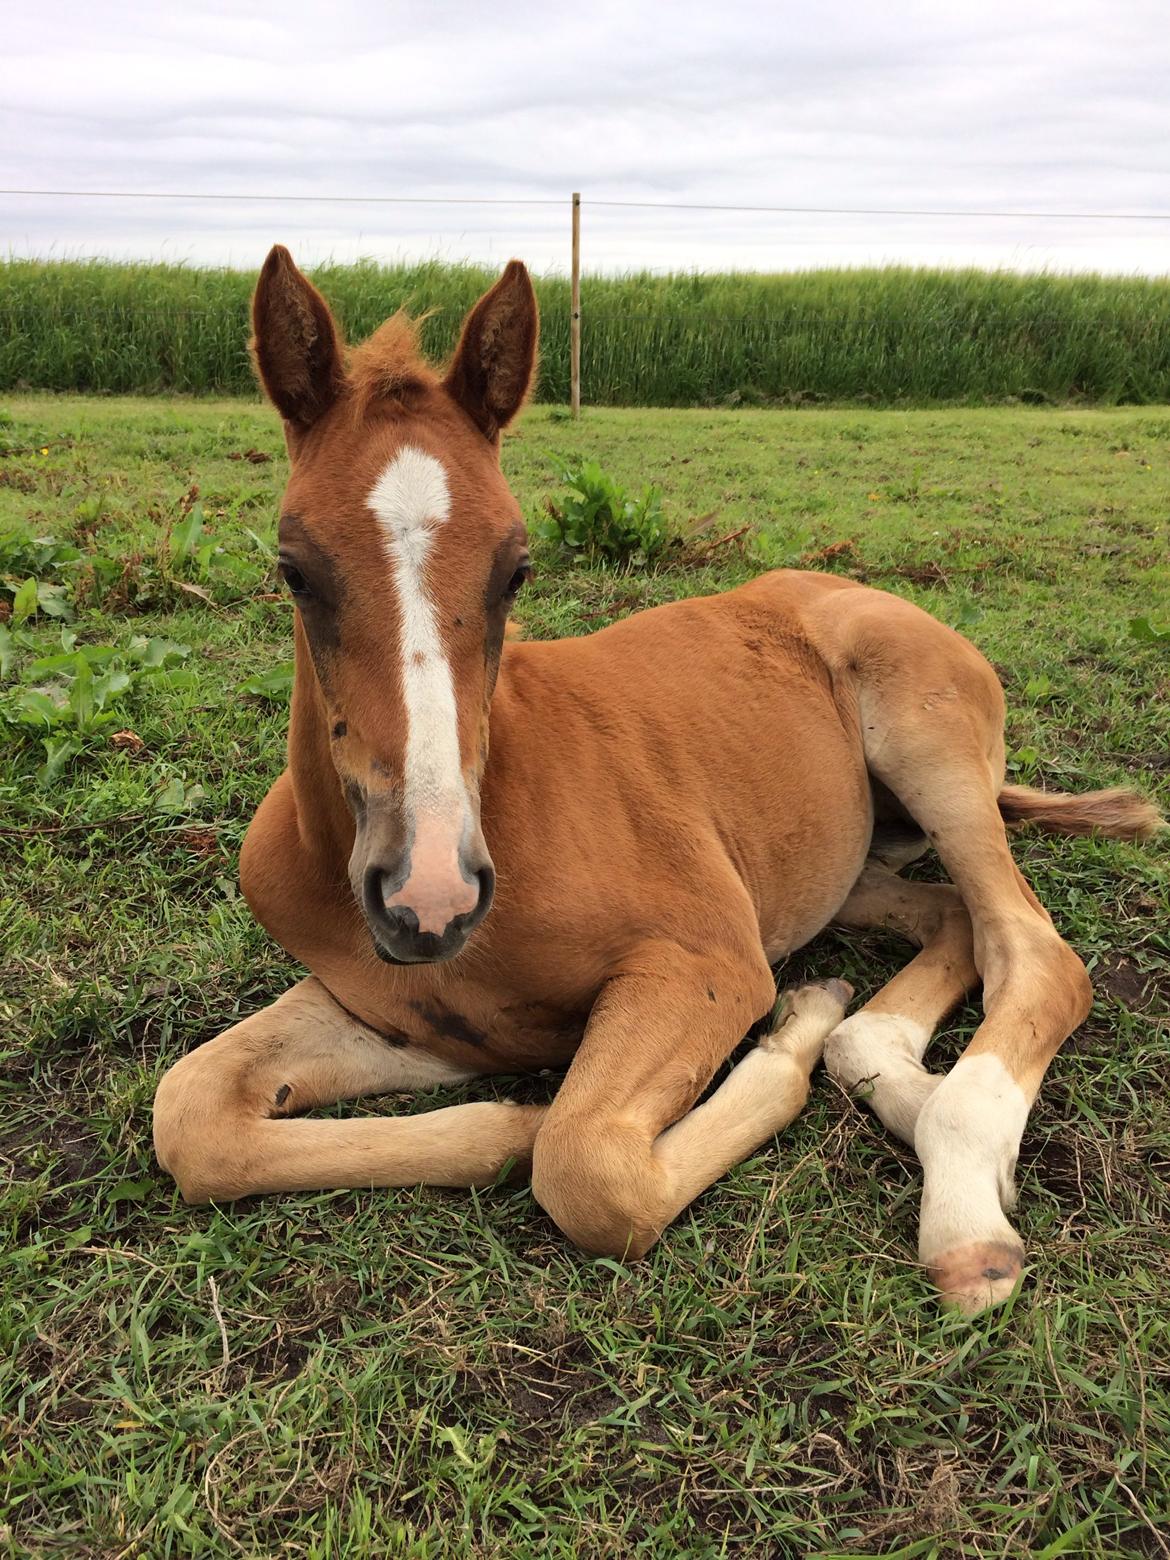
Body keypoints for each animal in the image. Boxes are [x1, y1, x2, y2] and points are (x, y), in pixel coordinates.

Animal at [153, 246, 1166, 1316]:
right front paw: (507, 1123)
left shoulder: (706, 959)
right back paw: (879, 1060)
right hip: (828, 868)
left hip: (930, 752)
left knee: (1034, 952)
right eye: (294, 568)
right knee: (950, 923)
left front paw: (779, 1043)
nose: (430, 895)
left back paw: (963, 1209)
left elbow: (588, 1167)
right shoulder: (403, 1019)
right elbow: (191, 1112)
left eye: (517, 568)